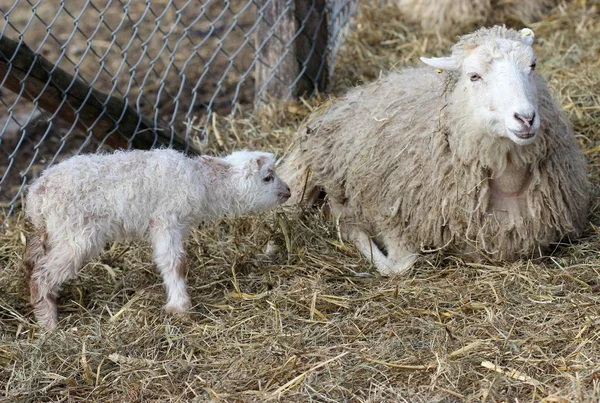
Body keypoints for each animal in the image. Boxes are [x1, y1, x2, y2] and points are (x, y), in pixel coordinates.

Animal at [24, 148, 292, 328]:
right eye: (267, 177)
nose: (288, 191)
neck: (203, 182)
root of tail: (36, 195)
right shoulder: (166, 220)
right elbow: (175, 263)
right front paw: (181, 308)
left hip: (54, 232)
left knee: (34, 260)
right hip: (76, 233)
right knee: (42, 273)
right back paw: (49, 324)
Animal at [280, 26, 592, 276]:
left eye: (533, 65)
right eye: (474, 76)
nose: (525, 118)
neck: (509, 181)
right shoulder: (392, 217)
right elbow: (398, 266)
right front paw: (351, 227)